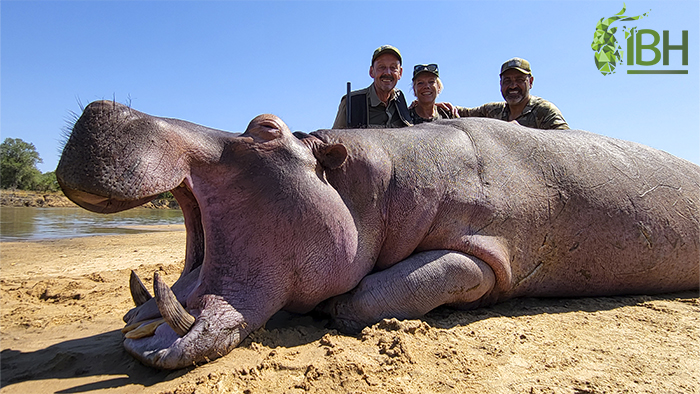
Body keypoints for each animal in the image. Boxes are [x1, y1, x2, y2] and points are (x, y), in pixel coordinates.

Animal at [56, 101, 700, 370]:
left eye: (266, 128)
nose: (105, 106)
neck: (373, 186)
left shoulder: (485, 257)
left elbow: (368, 296)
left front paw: (333, 310)